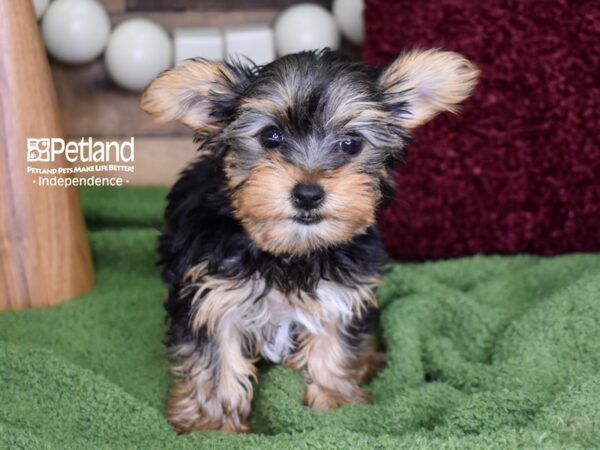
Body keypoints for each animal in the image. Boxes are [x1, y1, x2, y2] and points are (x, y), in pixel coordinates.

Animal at [139, 48, 478, 432]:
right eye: (271, 136)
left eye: (351, 143)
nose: (308, 194)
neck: (291, 251)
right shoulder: (211, 296)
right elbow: (216, 362)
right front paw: (212, 425)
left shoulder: (340, 292)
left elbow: (332, 344)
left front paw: (335, 402)